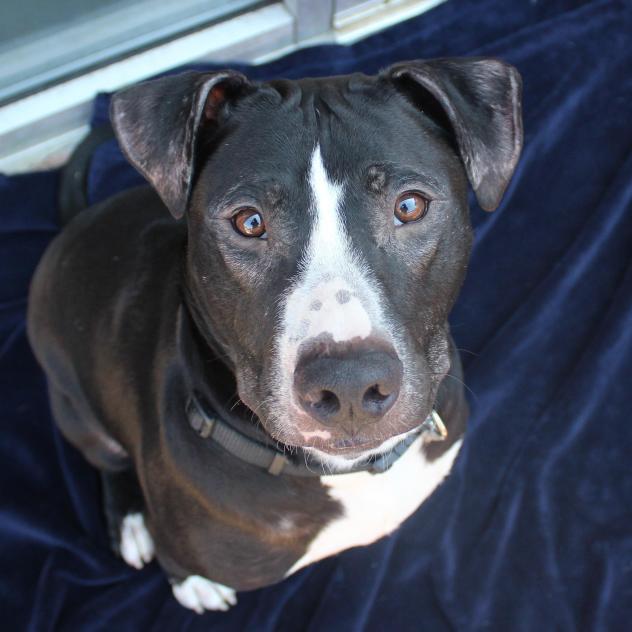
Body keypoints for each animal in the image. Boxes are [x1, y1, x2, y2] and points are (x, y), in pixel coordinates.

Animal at [27, 59, 524, 612]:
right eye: (249, 221)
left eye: (410, 206)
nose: (349, 385)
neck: (342, 472)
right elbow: (178, 564)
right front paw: (190, 579)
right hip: (74, 405)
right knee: (105, 460)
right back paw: (132, 522)